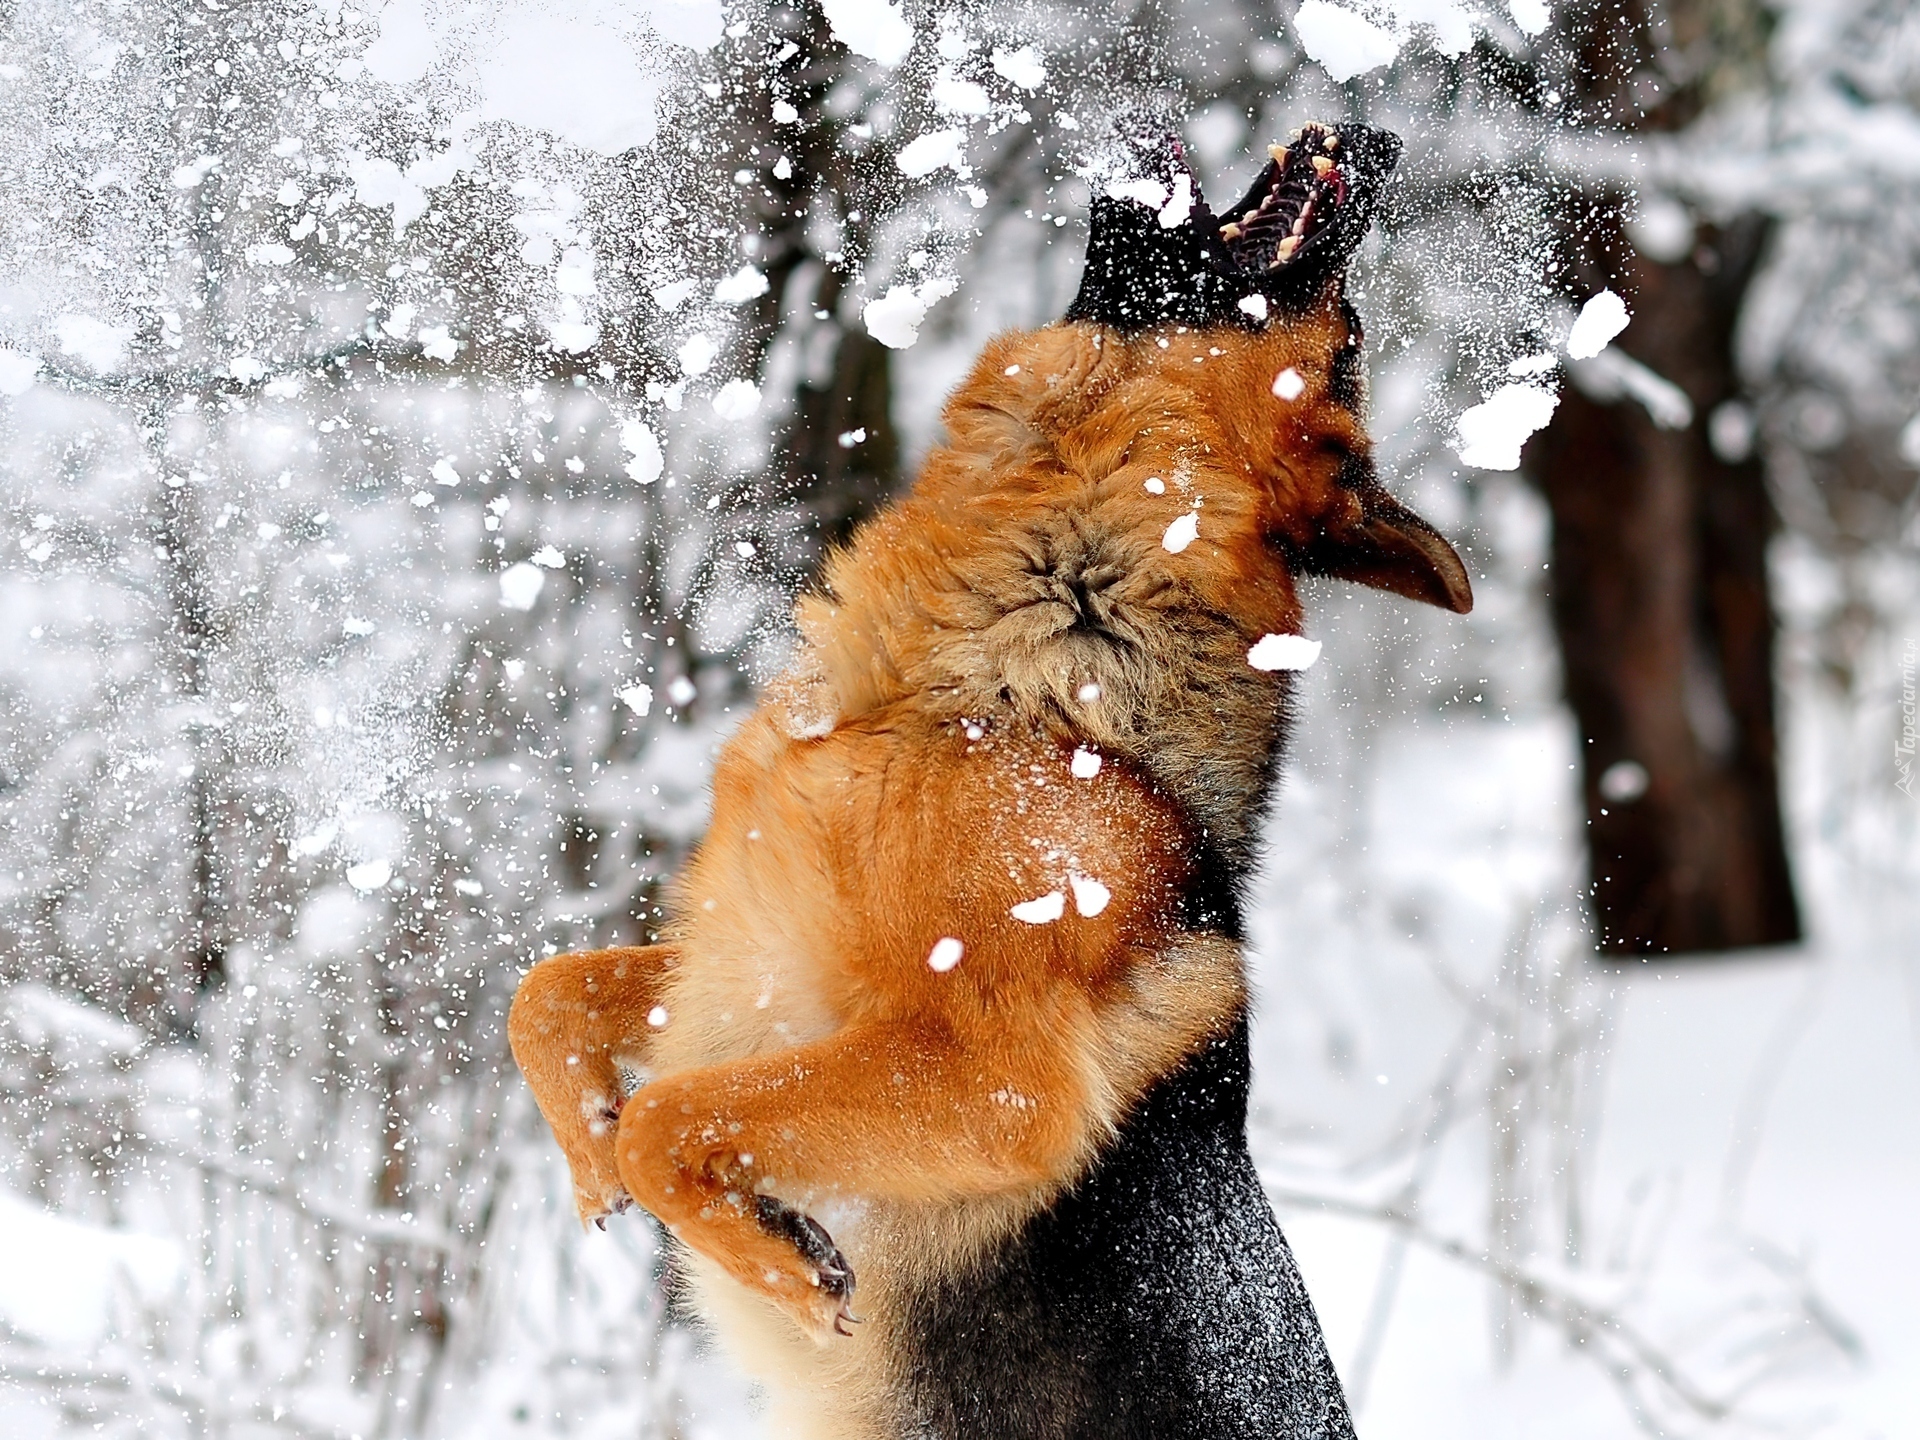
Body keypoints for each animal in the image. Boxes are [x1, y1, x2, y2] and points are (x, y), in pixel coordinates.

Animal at [510, 123, 1466, 1440]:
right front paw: (589, 1152)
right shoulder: (740, 959)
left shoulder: (993, 1083)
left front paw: (773, 1258)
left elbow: (670, 1117)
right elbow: (548, 996)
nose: (1376, 137)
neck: (1012, 686)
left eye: (1354, 339)